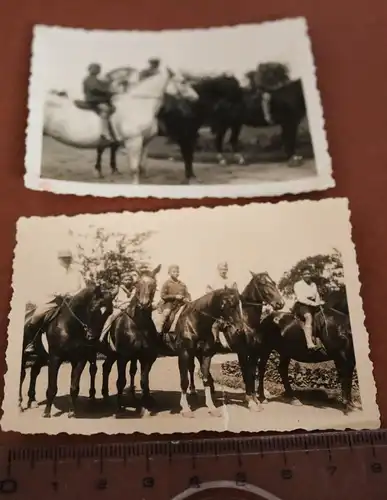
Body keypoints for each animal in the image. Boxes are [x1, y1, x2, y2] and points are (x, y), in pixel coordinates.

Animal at [44, 65, 199, 184]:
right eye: (183, 82)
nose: (195, 97)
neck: (139, 105)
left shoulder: (145, 142)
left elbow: (141, 166)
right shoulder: (133, 142)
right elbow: (134, 168)